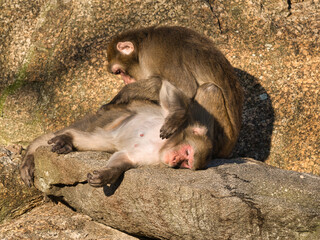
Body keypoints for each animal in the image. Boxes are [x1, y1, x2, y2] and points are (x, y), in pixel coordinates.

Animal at [21, 80, 214, 188]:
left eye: (186, 164)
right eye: (187, 153)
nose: (175, 160)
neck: (163, 145)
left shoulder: (152, 159)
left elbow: (126, 158)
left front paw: (107, 174)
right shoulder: (172, 122)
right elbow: (166, 87)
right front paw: (176, 115)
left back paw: (69, 140)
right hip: (110, 116)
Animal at [104, 25, 244, 159]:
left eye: (119, 71)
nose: (125, 81)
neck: (142, 44)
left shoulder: (153, 54)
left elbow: (187, 88)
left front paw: (126, 92)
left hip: (222, 140)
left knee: (209, 89)